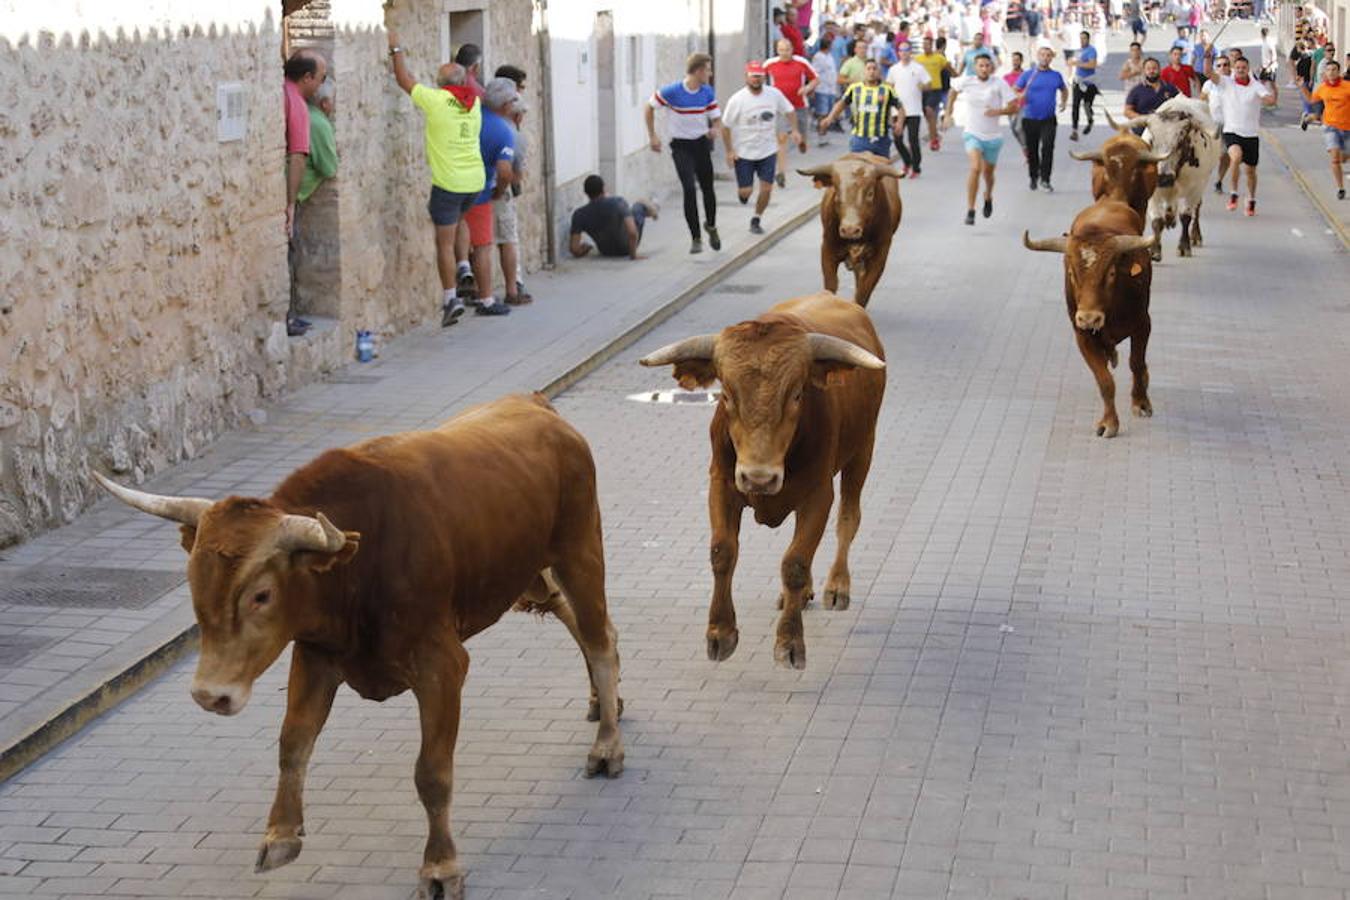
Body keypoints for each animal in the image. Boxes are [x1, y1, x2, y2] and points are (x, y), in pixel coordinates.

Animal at [95, 394, 621, 900]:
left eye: (261, 595)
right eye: (194, 581)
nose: (210, 695)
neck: (359, 564)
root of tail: (535, 405)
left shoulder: (443, 666)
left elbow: (432, 773)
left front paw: (440, 867)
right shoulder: (314, 655)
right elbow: (293, 743)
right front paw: (280, 834)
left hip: (579, 551)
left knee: (600, 640)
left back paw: (607, 746)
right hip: (529, 576)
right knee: (581, 623)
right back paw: (604, 701)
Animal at [639, 294, 885, 669]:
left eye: (797, 394)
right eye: (726, 394)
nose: (759, 477)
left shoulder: (818, 495)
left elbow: (795, 562)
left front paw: (790, 642)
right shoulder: (722, 484)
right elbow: (723, 552)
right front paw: (720, 633)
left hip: (862, 451)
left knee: (848, 518)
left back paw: (837, 585)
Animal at [793, 153, 901, 307]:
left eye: (870, 193)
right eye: (836, 192)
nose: (850, 230)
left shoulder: (880, 256)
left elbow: (863, 292)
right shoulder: (827, 249)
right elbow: (831, 286)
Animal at [1020, 201, 1161, 439]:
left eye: (1111, 273)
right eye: (1071, 273)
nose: (1089, 318)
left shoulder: (1143, 324)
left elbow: (1136, 362)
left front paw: (1141, 403)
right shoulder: (1083, 336)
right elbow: (1105, 381)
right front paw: (1109, 422)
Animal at [1134, 99, 1231, 260]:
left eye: (1181, 141)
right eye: (1152, 140)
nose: (1164, 177)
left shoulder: (1195, 187)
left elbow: (1186, 216)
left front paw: (1184, 247)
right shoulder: (1153, 191)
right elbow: (1157, 220)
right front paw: (1154, 250)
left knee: (1197, 209)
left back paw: (1195, 236)